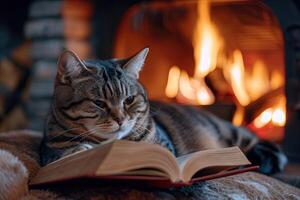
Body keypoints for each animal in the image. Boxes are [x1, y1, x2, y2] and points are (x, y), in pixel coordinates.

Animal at [39, 48, 286, 173]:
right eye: (99, 103)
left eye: (129, 100)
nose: (120, 119)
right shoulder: (53, 151)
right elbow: (71, 153)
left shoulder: (162, 146)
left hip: (231, 133)